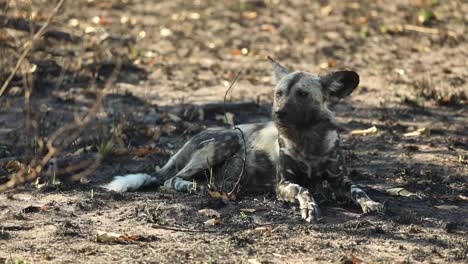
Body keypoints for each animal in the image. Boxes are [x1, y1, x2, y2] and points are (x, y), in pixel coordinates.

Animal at [105, 57, 384, 221]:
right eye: (278, 93)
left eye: (303, 94)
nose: (277, 113)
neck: (308, 140)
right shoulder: (284, 184)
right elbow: (304, 189)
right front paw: (309, 205)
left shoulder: (339, 180)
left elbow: (358, 190)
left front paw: (370, 202)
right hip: (226, 141)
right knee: (170, 180)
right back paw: (196, 187)